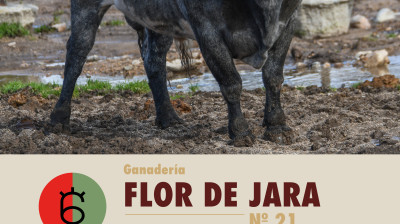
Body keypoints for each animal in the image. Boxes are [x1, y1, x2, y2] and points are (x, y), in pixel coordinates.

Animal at [51, 0, 304, 147]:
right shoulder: (206, 29)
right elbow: (231, 83)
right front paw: (240, 132)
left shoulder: (288, 22)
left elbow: (273, 77)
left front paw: (277, 127)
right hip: (86, 6)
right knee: (76, 53)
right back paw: (59, 119)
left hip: (159, 19)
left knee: (154, 60)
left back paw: (168, 117)